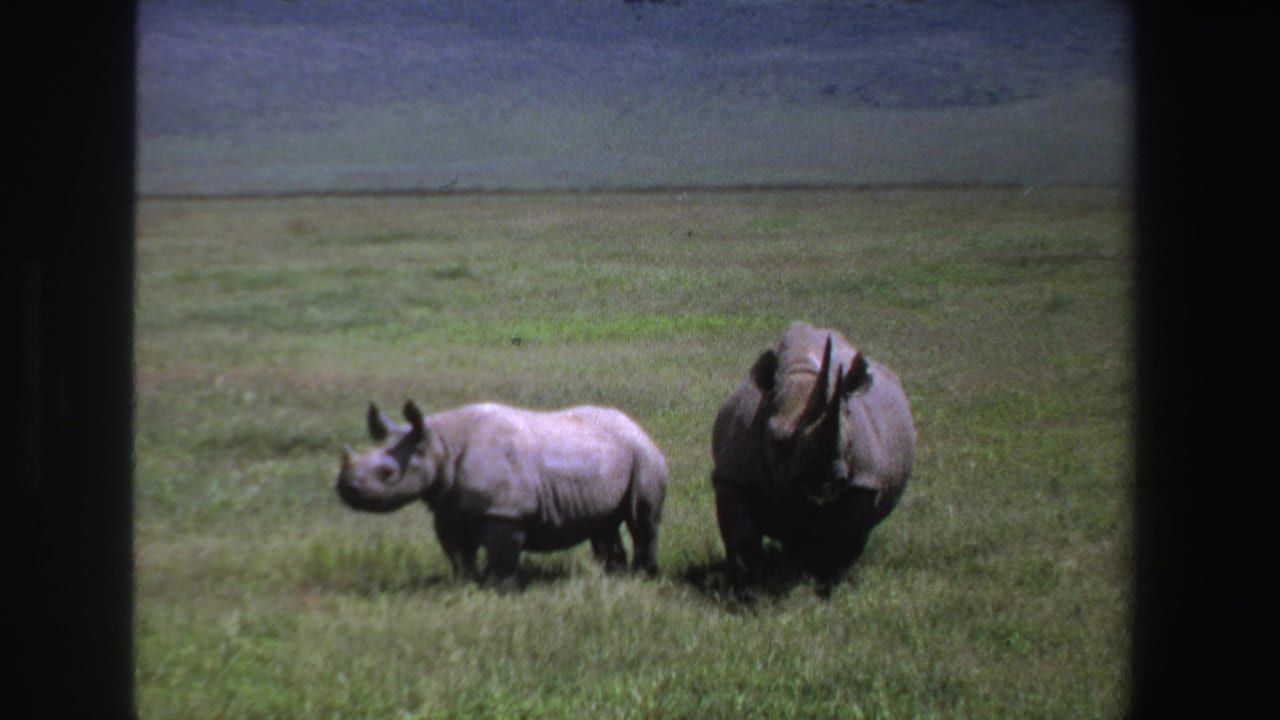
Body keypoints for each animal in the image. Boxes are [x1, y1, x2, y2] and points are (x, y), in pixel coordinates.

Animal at [336, 399, 668, 590]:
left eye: (387, 473)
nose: (345, 488)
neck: (439, 443)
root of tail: (638, 426)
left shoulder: (505, 511)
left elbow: (502, 554)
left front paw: (500, 590)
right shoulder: (448, 508)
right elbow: (458, 552)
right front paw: (464, 585)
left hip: (644, 455)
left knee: (641, 522)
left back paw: (644, 577)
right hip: (609, 457)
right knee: (603, 524)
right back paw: (612, 577)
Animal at [711, 321, 915, 592]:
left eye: (849, 442)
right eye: (776, 441)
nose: (826, 483)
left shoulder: (864, 481)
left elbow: (843, 537)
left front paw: (826, 583)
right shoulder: (734, 474)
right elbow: (742, 536)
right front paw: (747, 587)